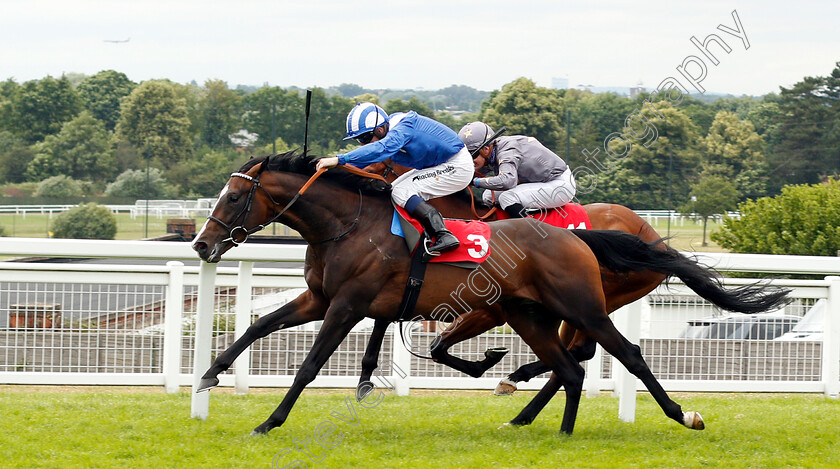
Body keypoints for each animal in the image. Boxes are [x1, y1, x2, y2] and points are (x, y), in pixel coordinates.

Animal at [192, 153, 788, 436]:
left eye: (235, 197)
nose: (201, 243)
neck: (351, 224)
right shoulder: (320, 299)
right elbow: (258, 325)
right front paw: (210, 373)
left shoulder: (347, 305)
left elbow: (310, 365)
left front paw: (269, 421)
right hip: (530, 314)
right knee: (569, 366)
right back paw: (546, 426)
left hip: (584, 306)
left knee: (623, 354)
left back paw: (682, 415)